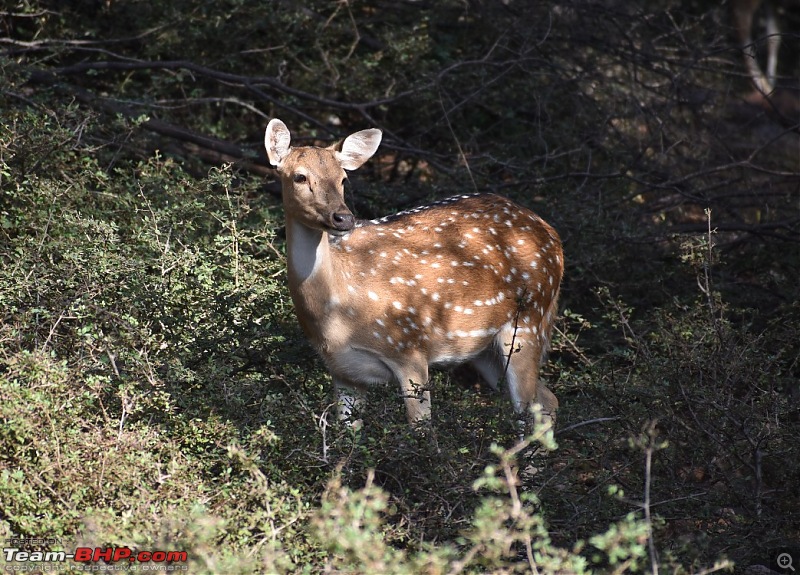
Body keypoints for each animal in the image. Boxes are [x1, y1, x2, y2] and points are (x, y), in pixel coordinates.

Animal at [266, 119, 560, 430]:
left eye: (343, 179)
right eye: (299, 177)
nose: (343, 218)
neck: (337, 313)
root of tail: (553, 236)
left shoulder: (410, 349)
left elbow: (421, 429)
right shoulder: (344, 371)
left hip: (529, 322)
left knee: (529, 408)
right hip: (483, 350)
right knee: (547, 400)